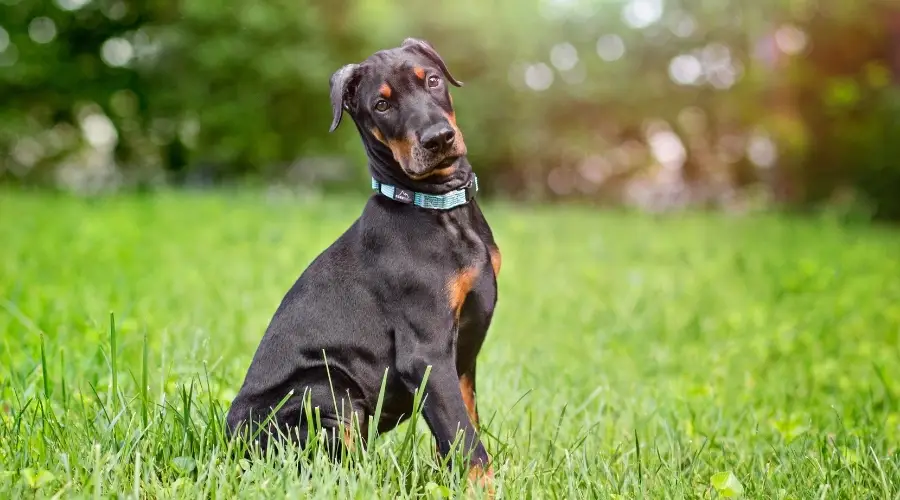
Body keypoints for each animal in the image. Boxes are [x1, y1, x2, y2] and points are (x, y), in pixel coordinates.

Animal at [225, 39, 502, 492]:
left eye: (433, 79)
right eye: (381, 105)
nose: (439, 138)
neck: (436, 207)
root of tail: (228, 442)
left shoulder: (462, 358)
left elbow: (463, 424)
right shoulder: (426, 352)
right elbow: (466, 440)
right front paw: (484, 489)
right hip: (325, 390)